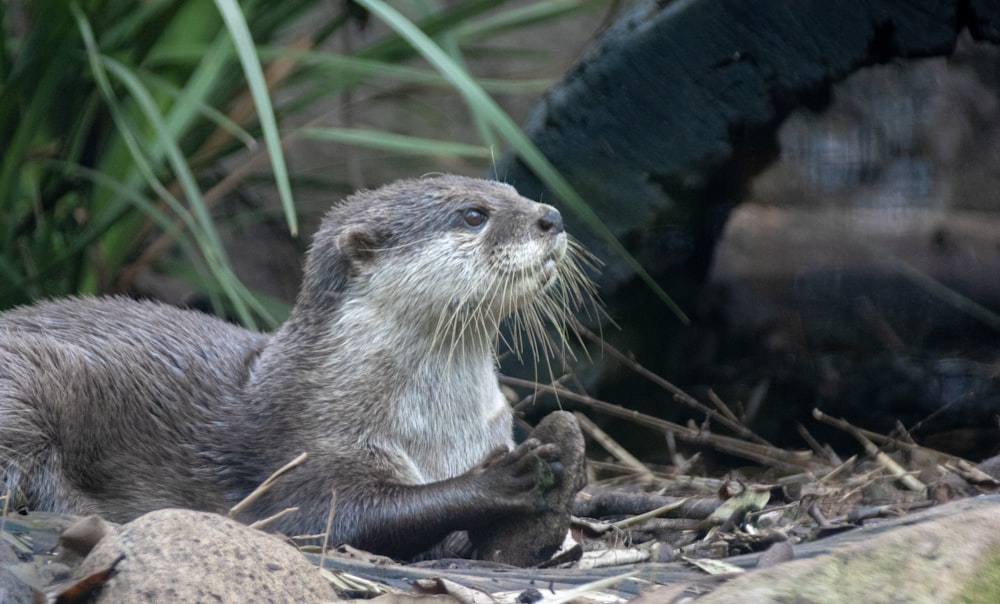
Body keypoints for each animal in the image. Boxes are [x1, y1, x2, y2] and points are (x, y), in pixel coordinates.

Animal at [0, 176, 592, 560]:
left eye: (513, 191)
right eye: (473, 214)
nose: (553, 217)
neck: (440, 432)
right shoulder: (314, 443)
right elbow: (333, 518)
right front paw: (505, 476)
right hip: (23, 386)